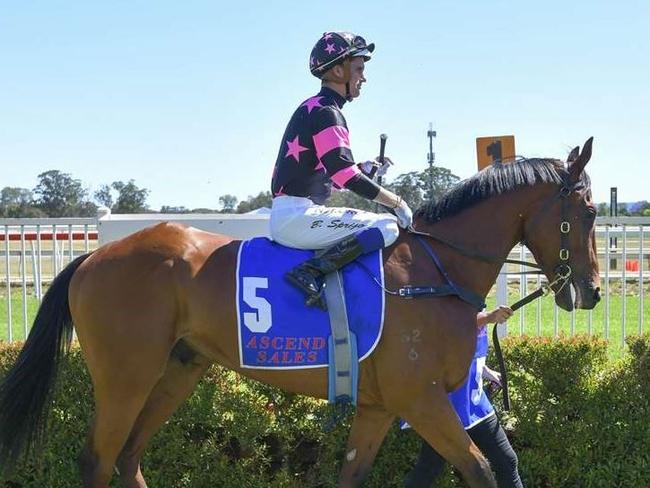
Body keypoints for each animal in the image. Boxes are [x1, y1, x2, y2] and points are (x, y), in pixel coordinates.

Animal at [0, 138, 596, 488]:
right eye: (589, 211)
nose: (588, 292)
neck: (435, 269)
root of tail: (91, 256)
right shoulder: (421, 399)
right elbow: (480, 470)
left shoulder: (380, 407)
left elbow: (353, 477)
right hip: (126, 375)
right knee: (99, 461)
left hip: (179, 368)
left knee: (128, 458)